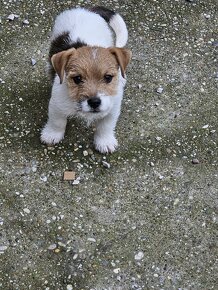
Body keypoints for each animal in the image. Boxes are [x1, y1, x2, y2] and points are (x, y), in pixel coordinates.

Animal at [41, 5, 131, 153]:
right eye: (77, 78)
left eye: (108, 77)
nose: (94, 102)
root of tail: (86, 9)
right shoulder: (57, 104)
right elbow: (57, 121)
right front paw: (52, 134)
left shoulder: (112, 109)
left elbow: (105, 126)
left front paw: (104, 141)